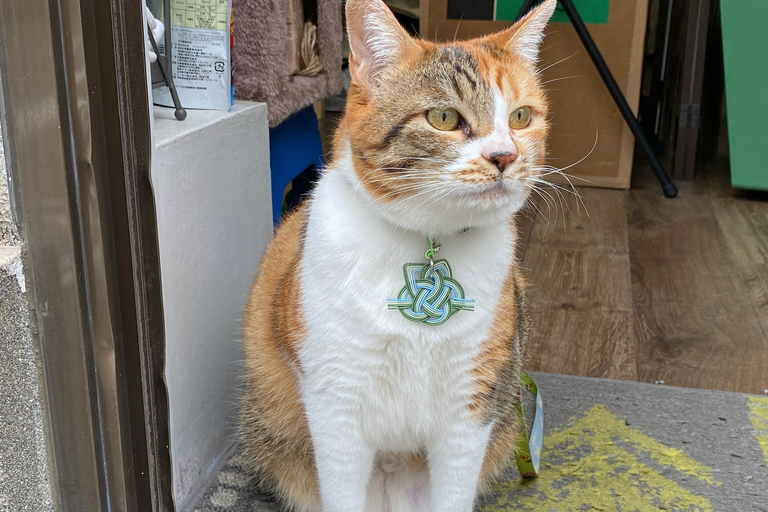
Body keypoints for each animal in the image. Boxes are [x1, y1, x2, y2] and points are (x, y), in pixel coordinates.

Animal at [237, 0, 556, 510]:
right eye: (444, 117)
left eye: (522, 117)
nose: (505, 156)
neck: (427, 241)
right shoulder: (335, 400)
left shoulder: (473, 400)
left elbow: (454, 488)